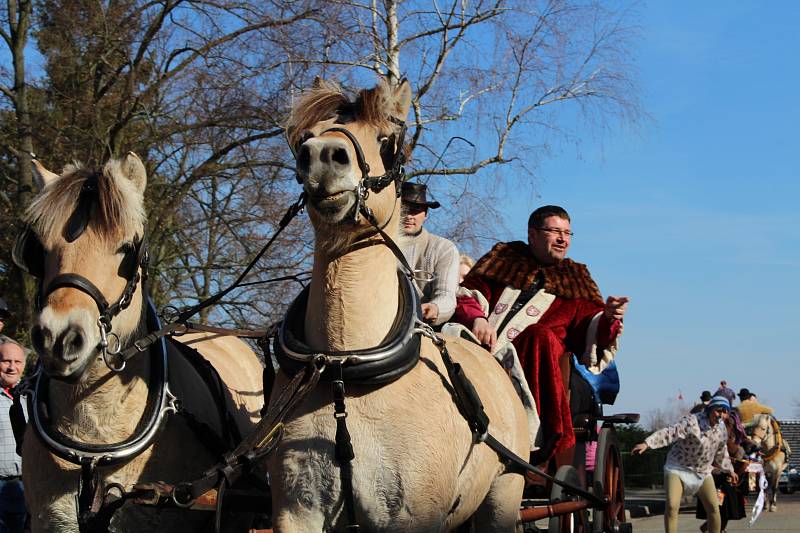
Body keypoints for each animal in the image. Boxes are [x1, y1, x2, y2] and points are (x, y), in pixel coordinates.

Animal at [268, 76, 532, 532]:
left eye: (387, 140)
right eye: (304, 139)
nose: (322, 156)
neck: (344, 367)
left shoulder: (413, 516)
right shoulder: (296, 511)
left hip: (503, 494)